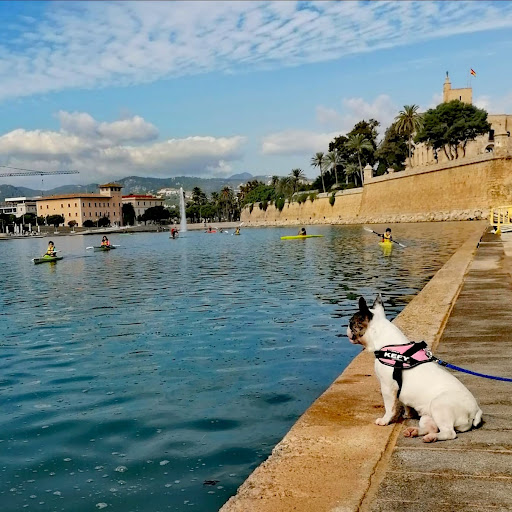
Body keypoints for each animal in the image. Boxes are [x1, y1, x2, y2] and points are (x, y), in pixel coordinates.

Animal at [346, 294, 482, 442]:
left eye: (351, 322)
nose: (347, 328)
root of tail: (475, 411)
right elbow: (406, 403)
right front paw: (408, 414)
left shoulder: (388, 387)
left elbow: (389, 407)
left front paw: (385, 420)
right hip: (428, 415)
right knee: (431, 427)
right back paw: (414, 431)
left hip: (439, 405)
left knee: (449, 433)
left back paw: (431, 437)